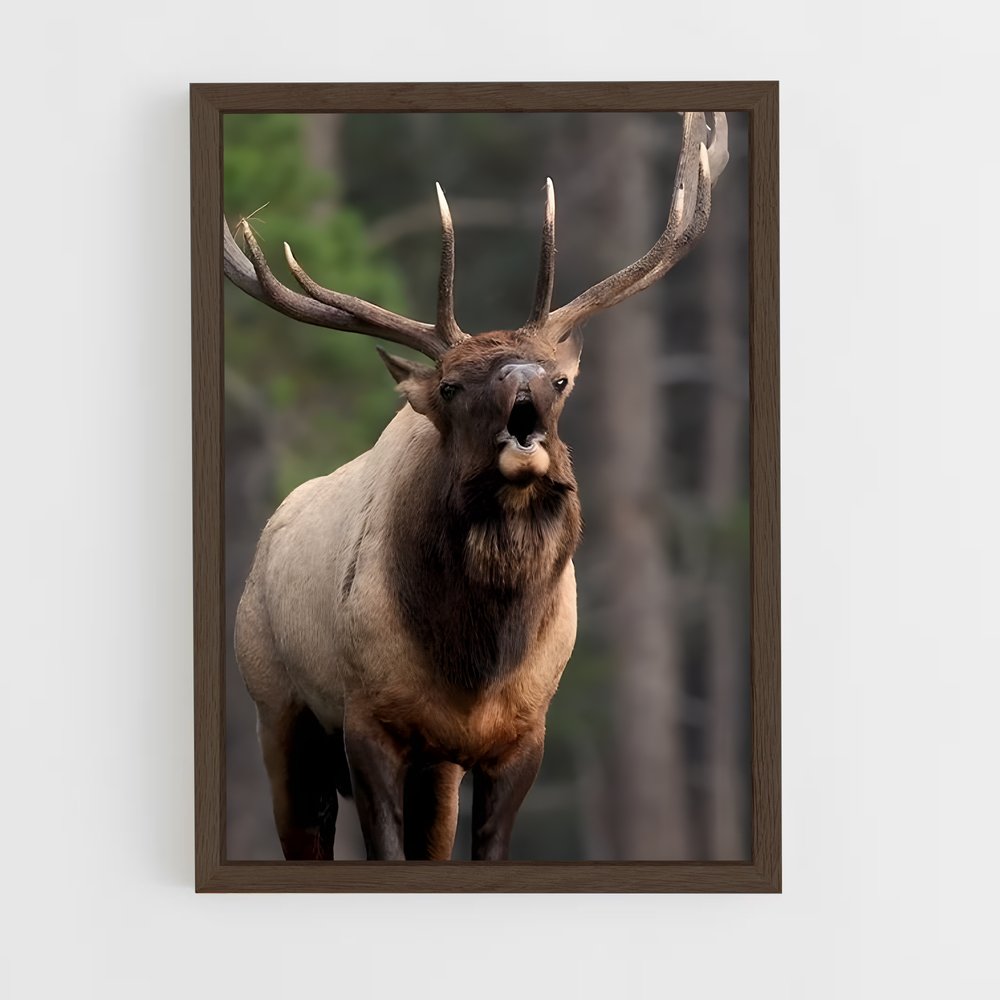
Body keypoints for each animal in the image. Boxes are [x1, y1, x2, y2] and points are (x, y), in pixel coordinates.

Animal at [224, 111, 729, 861]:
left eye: (559, 380)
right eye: (451, 386)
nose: (524, 390)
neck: (475, 663)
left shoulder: (521, 735)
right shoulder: (366, 720)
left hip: (432, 770)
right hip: (278, 711)